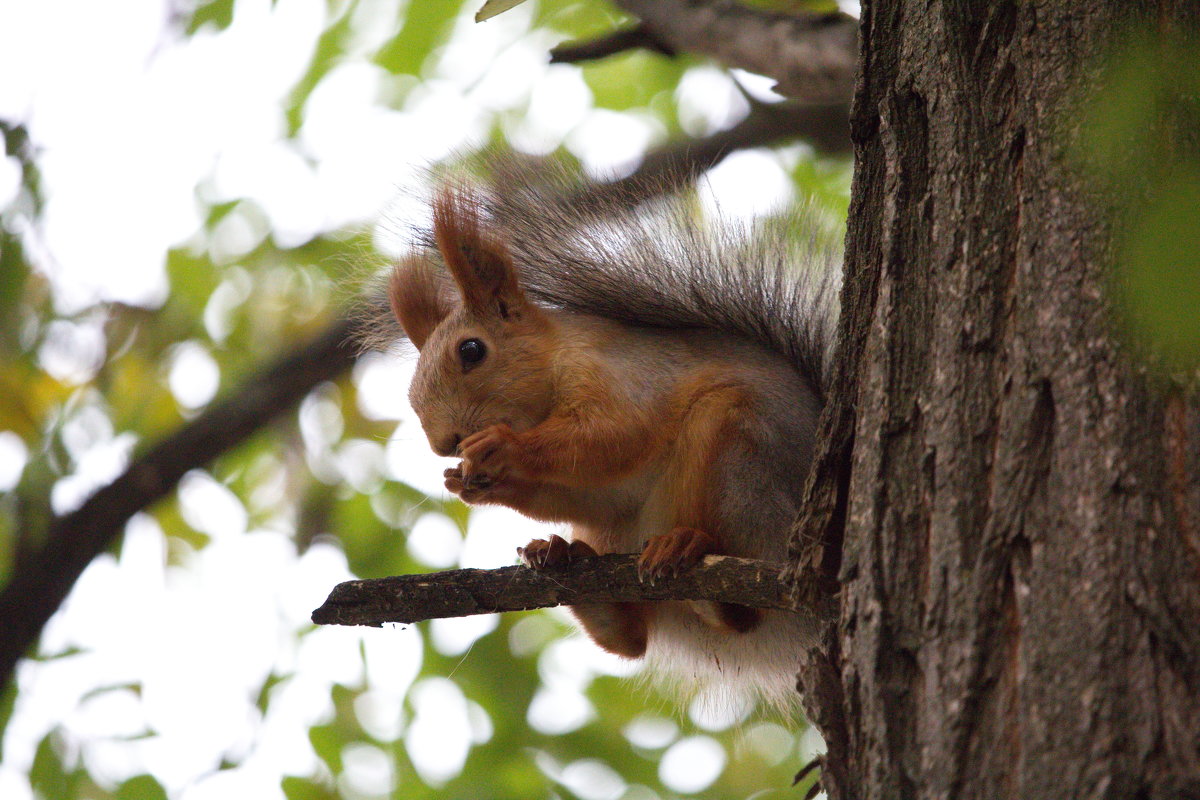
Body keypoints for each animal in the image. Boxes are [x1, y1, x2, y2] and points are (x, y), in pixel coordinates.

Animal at [384, 160, 835, 705]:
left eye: (471, 350)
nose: (443, 443)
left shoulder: (620, 377)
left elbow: (613, 437)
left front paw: (502, 449)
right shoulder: (594, 496)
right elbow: (582, 492)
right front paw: (467, 481)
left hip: (742, 462)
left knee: (739, 609)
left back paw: (686, 550)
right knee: (631, 641)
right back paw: (566, 564)